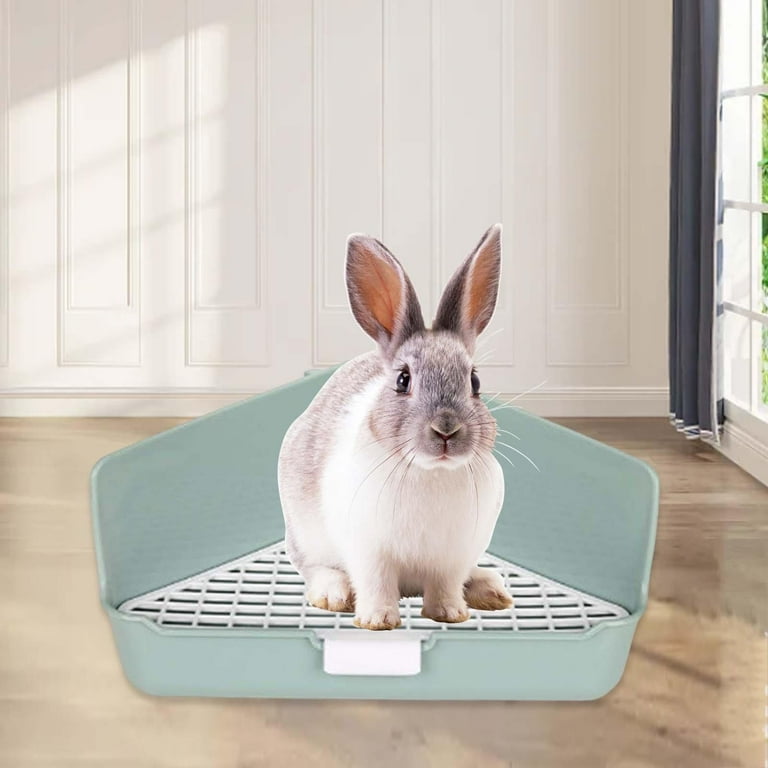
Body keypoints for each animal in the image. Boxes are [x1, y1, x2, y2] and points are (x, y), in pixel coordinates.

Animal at [278, 223, 511, 630]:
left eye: (475, 381)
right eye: (403, 380)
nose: (446, 430)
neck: (431, 472)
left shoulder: (452, 557)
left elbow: (446, 586)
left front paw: (450, 614)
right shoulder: (369, 552)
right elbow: (376, 584)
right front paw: (377, 621)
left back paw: (490, 590)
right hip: (306, 536)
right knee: (315, 567)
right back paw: (332, 593)